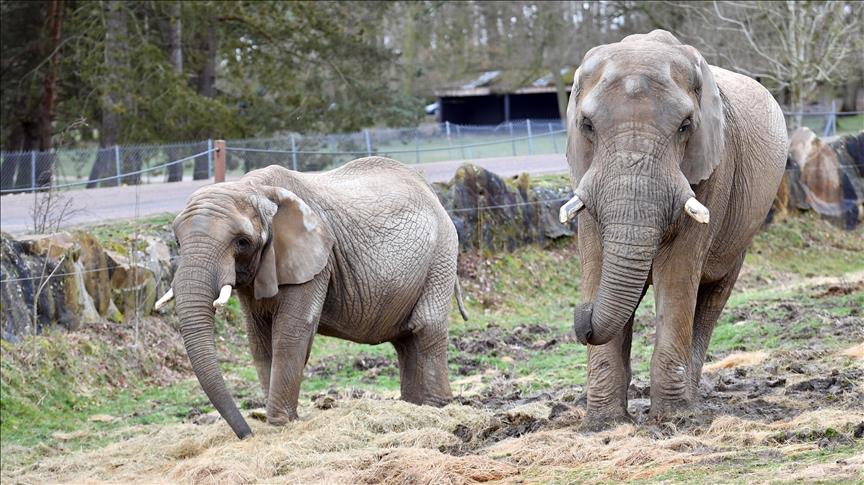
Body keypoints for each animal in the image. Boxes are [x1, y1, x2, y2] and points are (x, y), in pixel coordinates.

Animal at [155, 157, 466, 436]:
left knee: (425, 326)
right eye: (178, 241)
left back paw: (436, 408)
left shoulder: (316, 261)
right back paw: (412, 406)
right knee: (405, 339)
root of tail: (431, 190)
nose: (247, 434)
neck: (252, 188)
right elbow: (259, 340)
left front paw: (280, 423)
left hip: (442, 252)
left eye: (242, 242)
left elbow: (291, 332)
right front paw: (278, 421)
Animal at [560, 30, 788, 426]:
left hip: (741, 234)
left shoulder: (714, 167)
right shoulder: (584, 172)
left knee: (711, 299)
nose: (581, 317)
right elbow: (597, 259)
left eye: (685, 126)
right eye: (586, 125)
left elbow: (678, 271)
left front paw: (671, 420)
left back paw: (690, 403)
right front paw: (603, 423)